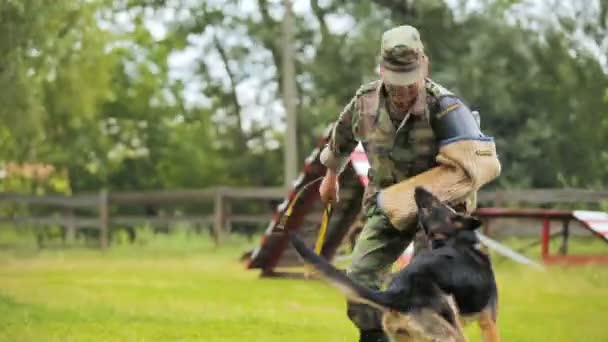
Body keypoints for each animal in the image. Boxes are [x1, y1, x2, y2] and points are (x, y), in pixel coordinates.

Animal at [290, 187, 498, 342]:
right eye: (438, 204)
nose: (418, 187)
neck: (453, 241)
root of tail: (398, 293)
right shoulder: (489, 322)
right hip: (453, 334)